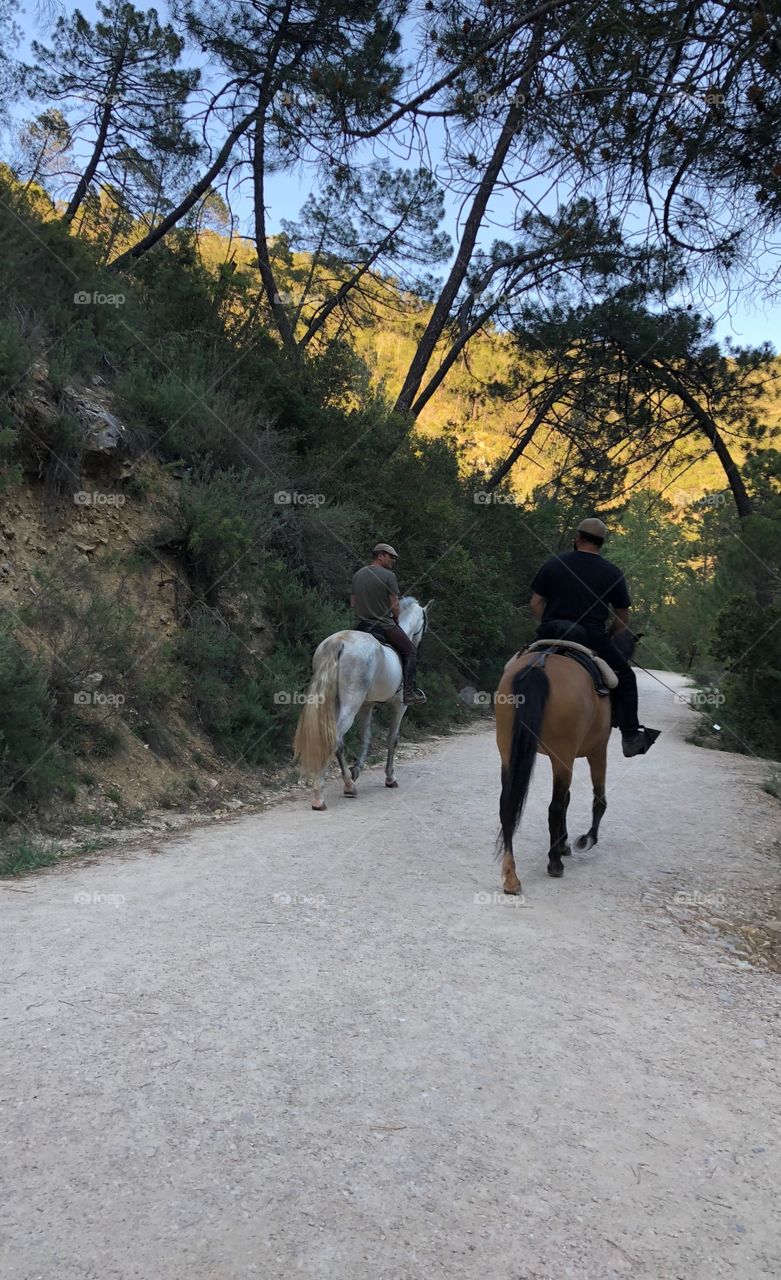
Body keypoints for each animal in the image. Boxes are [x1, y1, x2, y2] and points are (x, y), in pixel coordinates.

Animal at [293, 597, 429, 810]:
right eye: (425, 625)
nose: (418, 644)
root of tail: (339, 642)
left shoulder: (367, 706)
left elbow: (366, 738)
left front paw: (356, 770)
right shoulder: (400, 706)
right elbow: (392, 739)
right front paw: (390, 778)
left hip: (336, 702)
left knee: (336, 740)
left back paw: (347, 783)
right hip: (351, 703)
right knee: (336, 737)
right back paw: (322, 795)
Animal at [494, 628, 639, 895]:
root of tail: (539, 666)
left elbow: (569, 798)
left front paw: (564, 843)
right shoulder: (597, 751)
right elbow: (598, 799)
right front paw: (585, 840)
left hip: (510, 751)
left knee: (507, 804)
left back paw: (511, 876)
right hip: (564, 754)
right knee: (555, 807)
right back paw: (554, 863)